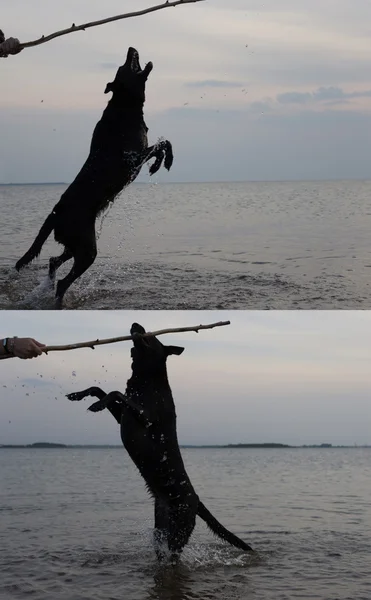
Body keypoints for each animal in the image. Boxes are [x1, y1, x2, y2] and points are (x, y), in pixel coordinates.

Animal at [16, 47, 174, 308]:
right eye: (123, 67)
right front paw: (163, 162)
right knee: (63, 282)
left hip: (74, 244)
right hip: (87, 249)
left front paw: (159, 163)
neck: (124, 105)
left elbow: (163, 143)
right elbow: (162, 143)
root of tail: (55, 211)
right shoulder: (131, 159)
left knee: (53, 261)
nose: (131, 48)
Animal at [66, 324, 256, 564]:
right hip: (161, 527)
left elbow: (115, 392)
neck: (147, 380)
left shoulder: (146, 417)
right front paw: (78, 395)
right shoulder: (123, 417)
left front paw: (97, 405)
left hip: (179, 529)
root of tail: (197, 500)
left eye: (152, 335)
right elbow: (99, 389)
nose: (135, 324)